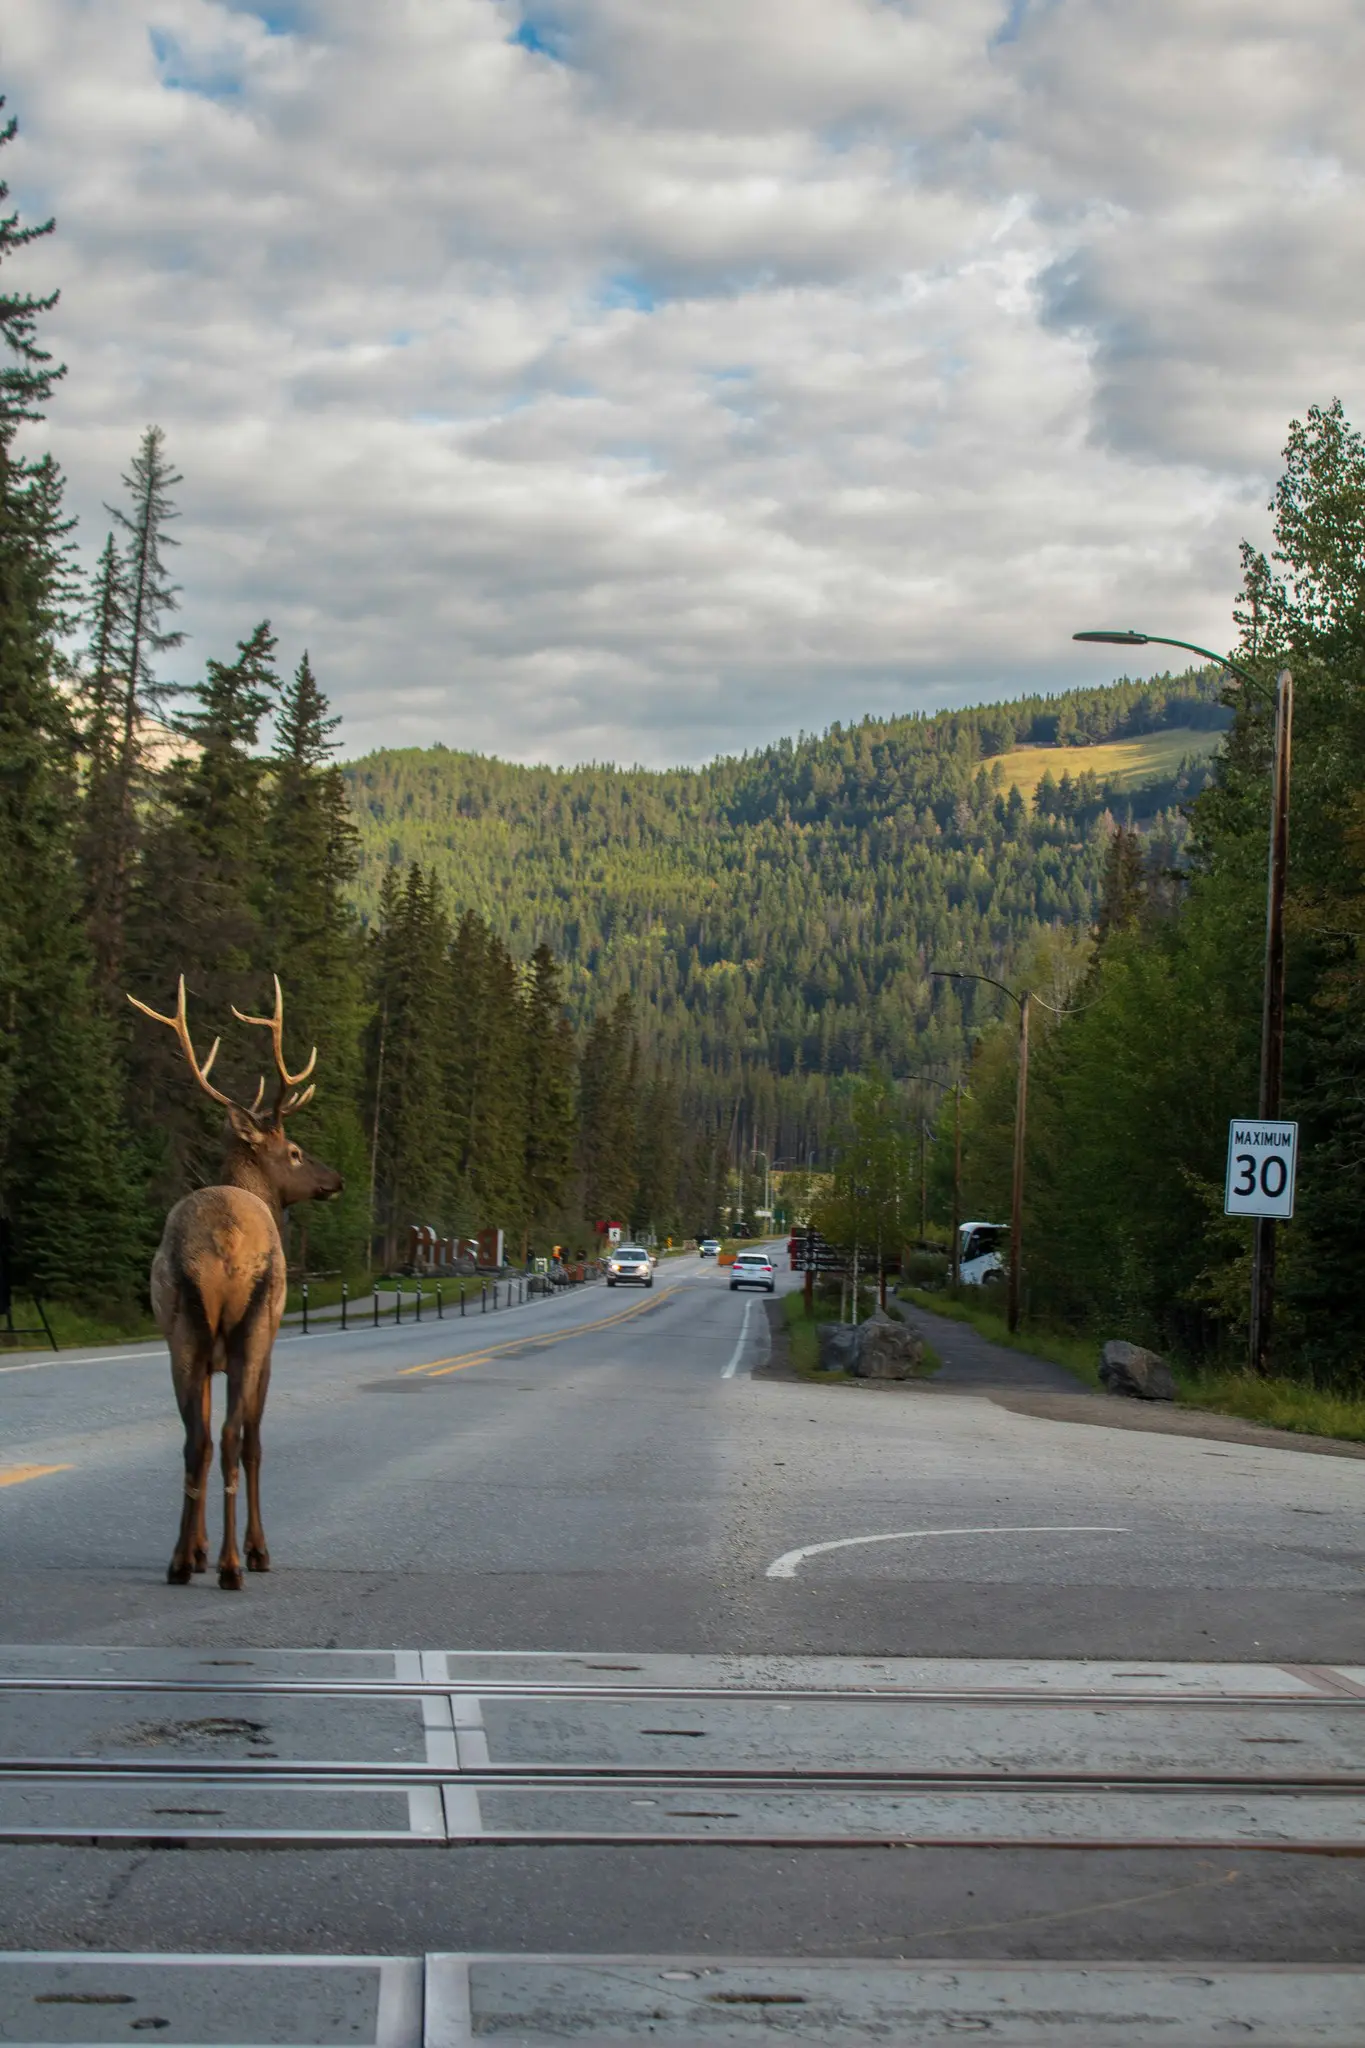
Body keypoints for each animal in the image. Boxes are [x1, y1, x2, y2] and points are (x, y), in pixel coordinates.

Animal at [128, 976, 343, 1589]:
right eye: (294, 1151)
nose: (336, 1179)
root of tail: (222, 1245)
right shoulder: (268, 1347)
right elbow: (254, 1444)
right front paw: (251, 1550)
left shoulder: (205, 1354)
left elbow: (199, 1437)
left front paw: (197, 1548)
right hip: (251, 1328)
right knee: (230, 1439)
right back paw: (234, 1565)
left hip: (183, 1332)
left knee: (195, 1440)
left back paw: (182, 1562)